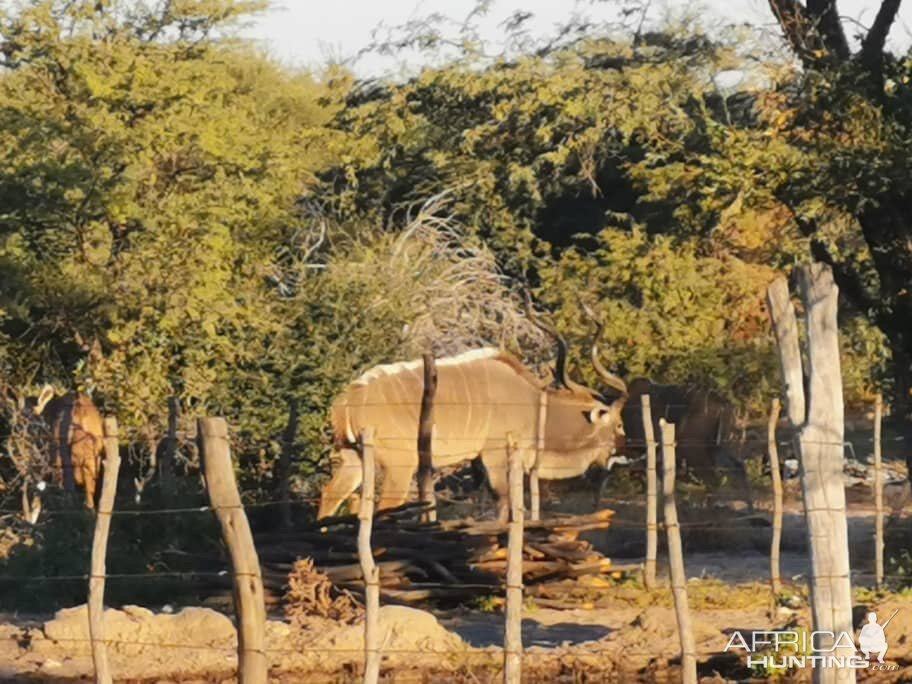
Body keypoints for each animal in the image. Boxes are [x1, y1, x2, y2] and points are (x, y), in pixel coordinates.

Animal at [318, 314, 628, 520]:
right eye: (618, 424)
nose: (620, 454)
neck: (535, 405)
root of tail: (346, 402)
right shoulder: (495, 455)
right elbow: (504, 501)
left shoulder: (481, 461)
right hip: (399, 466)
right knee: (384, 507)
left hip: (353, 458)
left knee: (329, 496)